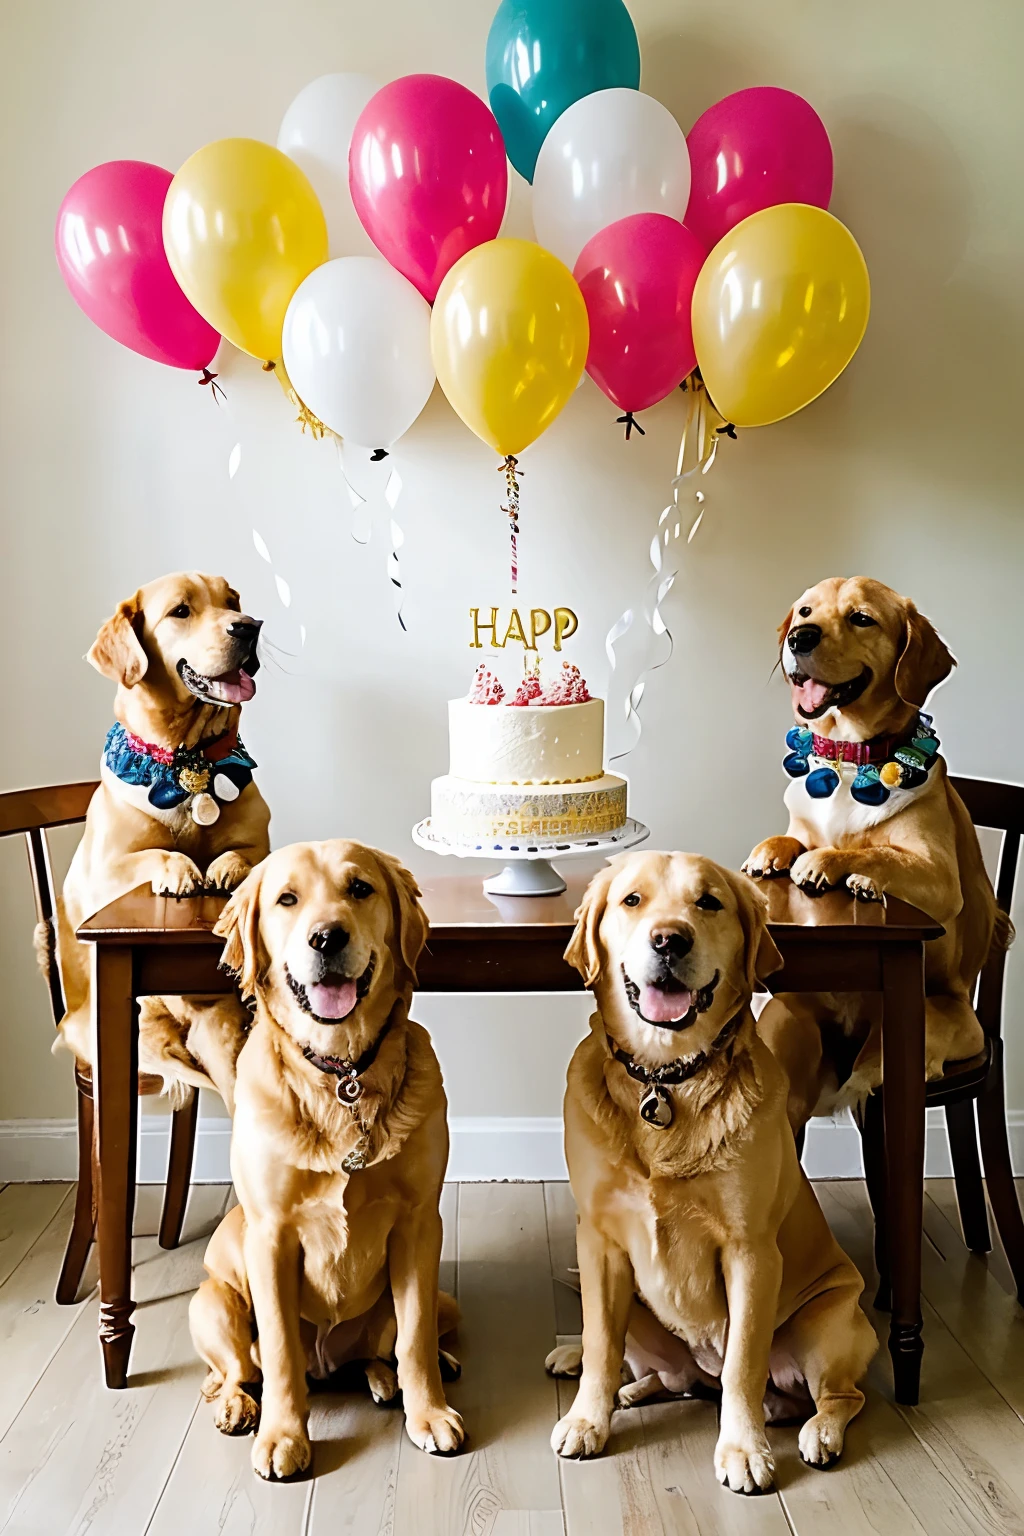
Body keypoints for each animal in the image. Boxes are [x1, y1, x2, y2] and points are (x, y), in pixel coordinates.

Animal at [53, 574, 270, 1105]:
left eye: (232, 601)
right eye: (181, 611)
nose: (249, 626)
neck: (188, 760)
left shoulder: (265, 842)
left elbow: (249, 855)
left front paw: (225, 866)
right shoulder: (103, 871)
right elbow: (155, 853)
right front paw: (181, 869)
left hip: (221, 1038)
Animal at [188, 841, 463, 1474]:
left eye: (359, 889)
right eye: (286, 899)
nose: (326, 938)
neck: (344, 1075)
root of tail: (329, 1362)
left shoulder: (419, 1223)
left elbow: (414, 1337)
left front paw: (429, 1412)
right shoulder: (270, 1235)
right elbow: (280, 1351)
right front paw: (283, 1436)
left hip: (444, 1298)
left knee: (394, 1346)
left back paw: (393, 1378)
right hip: (212, 1303)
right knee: (239, 1369)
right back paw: (237, 1405)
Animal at [549, 854, 878, 1486]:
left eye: (708, 902)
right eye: (632, 900)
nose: (669, 939)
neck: (665, 1078)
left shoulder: (751, 1252)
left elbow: (743, 1363)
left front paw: (743, 1449)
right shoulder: (598, 1242)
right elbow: (601, 1345)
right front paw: (587, 1420)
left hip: (827, 1323)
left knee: (839, 1396)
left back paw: (817, 1432)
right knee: (666, 1376)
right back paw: (622, 1386)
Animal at [739, 571, 1007, 1112]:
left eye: (861, 618)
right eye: (805, 612)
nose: (799, 638)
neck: (848, 755)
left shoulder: (941, 875)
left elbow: (877, 850)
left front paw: (836, 865)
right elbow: (793, 837)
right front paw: (771, 852)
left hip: (926, 1028)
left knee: (875, 1074)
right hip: (786, 1027)